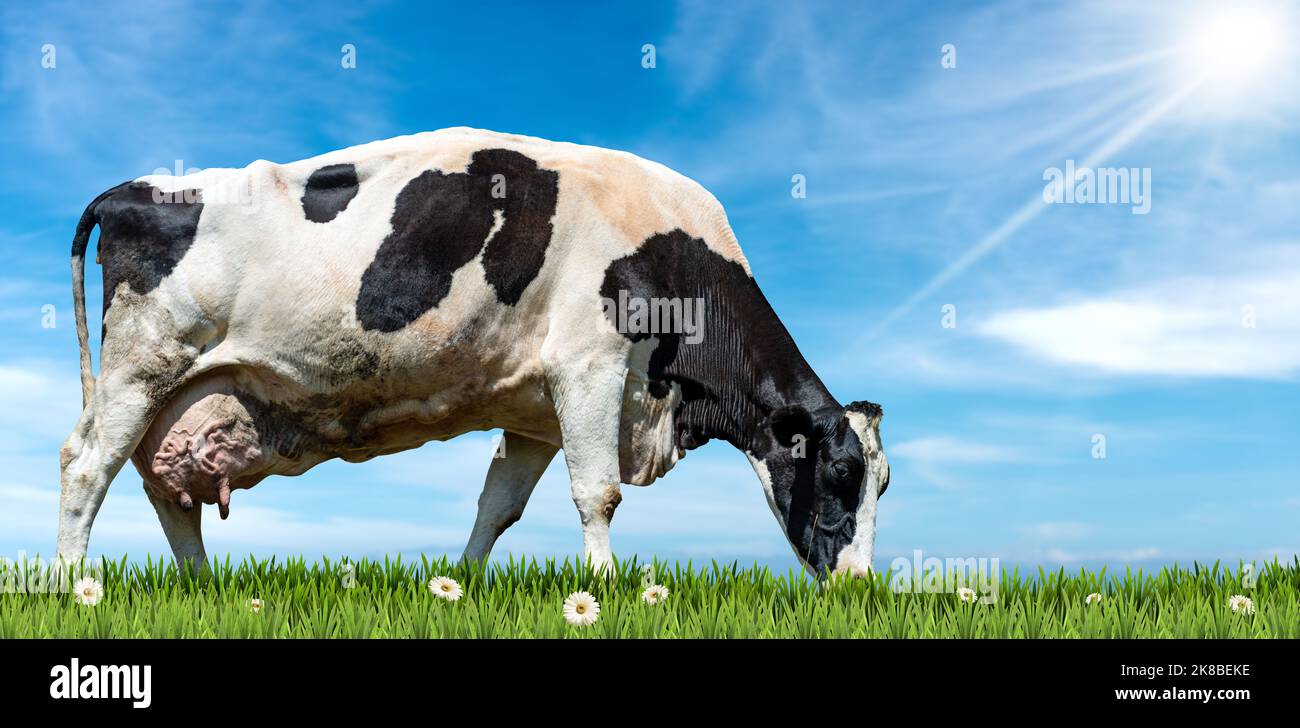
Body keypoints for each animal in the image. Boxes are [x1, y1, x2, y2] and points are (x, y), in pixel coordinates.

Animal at [57, 127, 890, 578]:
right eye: (841, 474)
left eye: (884, 484)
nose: (857, 589)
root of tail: (133, 188)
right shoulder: (589, 366)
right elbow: (599, 494)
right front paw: (608, 591)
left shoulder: (535, 411)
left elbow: (500, 507)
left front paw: (461, 585)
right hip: (140, 365)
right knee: (86, 465)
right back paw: (71, 588)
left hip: (178, 398)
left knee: (167, 492)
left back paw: (206, 589)